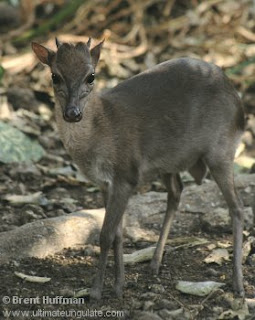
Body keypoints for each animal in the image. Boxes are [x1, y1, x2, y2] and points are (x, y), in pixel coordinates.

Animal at [31, 37, 245, 300]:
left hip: (221, 151)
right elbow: (117, 234)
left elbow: (106, 235)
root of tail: (239, 104)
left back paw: (238, 283)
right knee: (177, 192)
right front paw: (119, 285)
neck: (101, 130)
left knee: (237, 207)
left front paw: (96, 291)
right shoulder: (105, 184)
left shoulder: (126, 176)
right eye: (55, 76)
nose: (72, 113)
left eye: (91, 76)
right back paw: (154, 263)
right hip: (169, 163)